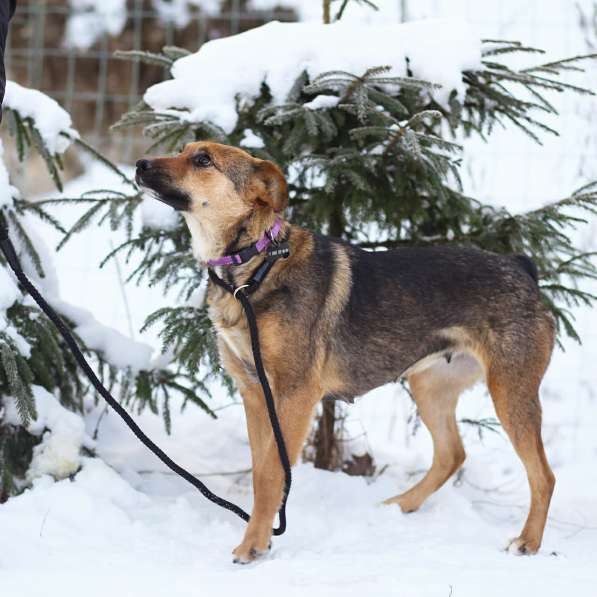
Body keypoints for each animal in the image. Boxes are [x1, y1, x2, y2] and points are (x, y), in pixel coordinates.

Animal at [135, 142, 556, 560]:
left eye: (203, 159)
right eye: (184, 149)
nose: (139, 164)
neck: (254, 265)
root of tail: (521, 266)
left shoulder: (295, 394)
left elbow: (272, 472)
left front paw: (252, 546)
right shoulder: (254, 392)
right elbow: (258, 470)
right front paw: (263, 534)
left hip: (510, 390)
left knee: (543, 475)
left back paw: (528, 541)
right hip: (430, 386)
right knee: (452, 454)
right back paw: (401, 505)